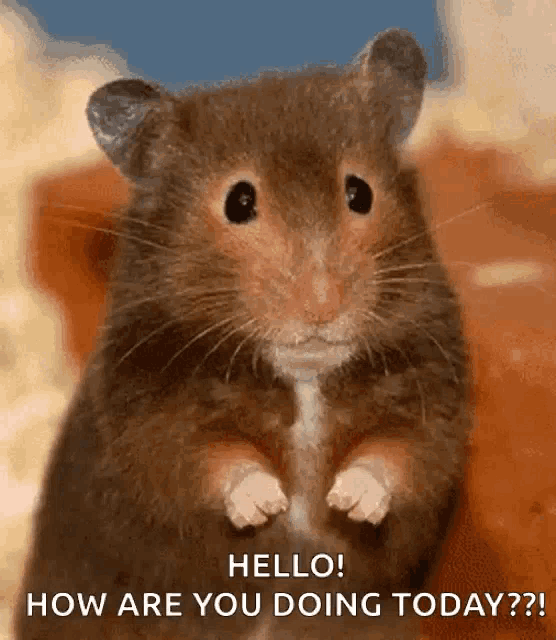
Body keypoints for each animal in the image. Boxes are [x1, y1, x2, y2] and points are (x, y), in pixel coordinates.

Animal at [15, 28, 470, 640]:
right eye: (239, 201)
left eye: (359, 193)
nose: (322, 306)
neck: (305, 376)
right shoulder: (153, 412)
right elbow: (215, 458)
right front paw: (269, 506)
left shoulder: (430, 391)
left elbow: (396, 454)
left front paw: (347, 503)